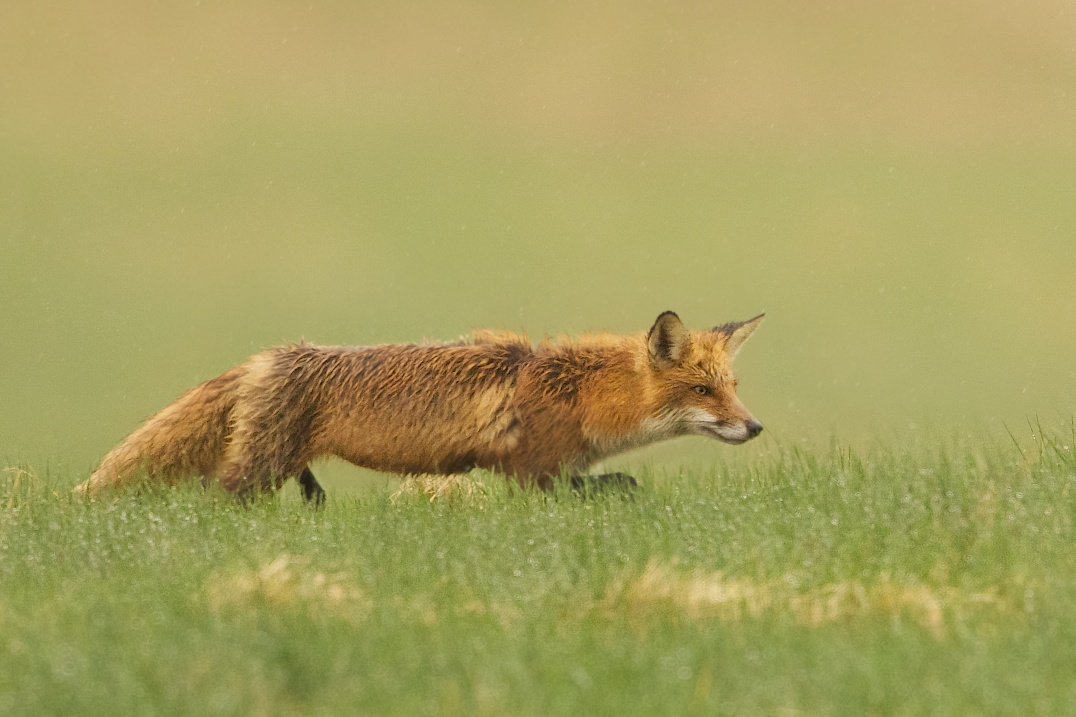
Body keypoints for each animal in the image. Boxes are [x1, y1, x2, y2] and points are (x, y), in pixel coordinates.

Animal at [76, 311, 764, 503]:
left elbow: (616, 485)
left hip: (277, 460)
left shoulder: (559, 470)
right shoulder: (533, 472)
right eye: (703, 392)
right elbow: (603, 489)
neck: (582, 395)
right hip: (256, 471)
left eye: (731, 386)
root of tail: (268, 355)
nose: (755, 426)